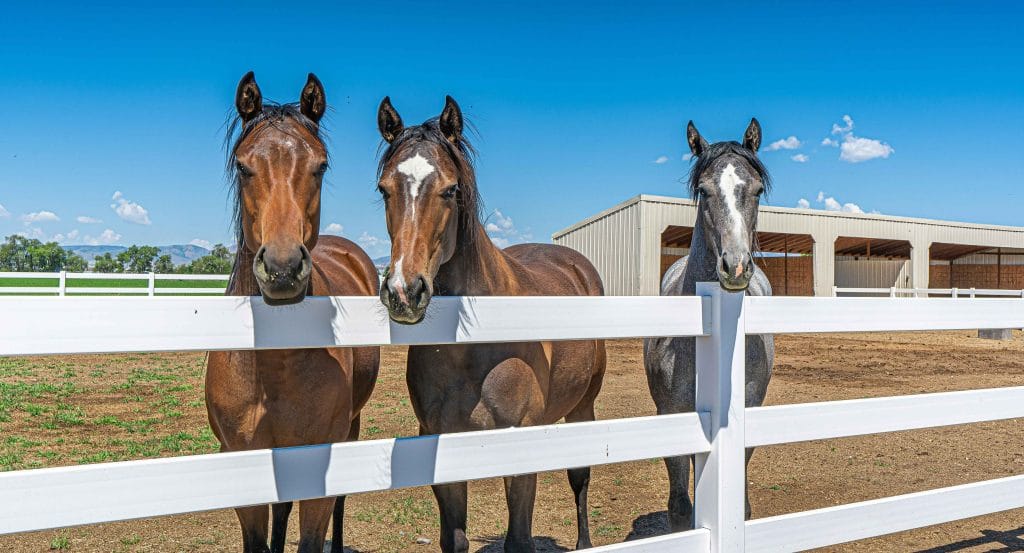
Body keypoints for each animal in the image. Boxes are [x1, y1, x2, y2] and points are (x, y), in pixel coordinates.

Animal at [205, 72, 380, 553]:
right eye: (243, 166)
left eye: (320, 166)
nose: (282, 269)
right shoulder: (244, 461)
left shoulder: (319, 458)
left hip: (351, 426)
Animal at [374, 96, 607, 553]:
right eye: (383, 189)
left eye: (450, 190)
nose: (404, 291)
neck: (473, 349)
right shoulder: (442, 445)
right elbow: (454, 539)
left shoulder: (519, 454)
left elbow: (519, 539)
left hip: (582, 407)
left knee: (580, 478)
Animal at [643, 119, 775, 531]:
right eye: (703, 190)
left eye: (757, 189)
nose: (735, 265)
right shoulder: (671, 416)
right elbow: (680, 508)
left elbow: (741, 505)